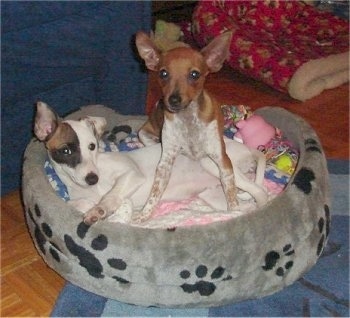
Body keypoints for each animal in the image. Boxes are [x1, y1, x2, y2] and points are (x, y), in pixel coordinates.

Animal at [34, 101, 266, 224]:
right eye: (66, 151)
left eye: (92, 146)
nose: (92, 178)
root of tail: (247, 149)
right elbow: (75, 203)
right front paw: (94, 208)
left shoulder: (131, 174)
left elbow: (112, 194)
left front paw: (102, 208)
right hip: (214, 195)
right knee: (242, 206)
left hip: (213, 164)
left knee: (261, 192)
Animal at [135, 31, 238, 222]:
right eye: (163, 73)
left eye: (194, 75)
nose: (173, 100)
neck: (188, 119)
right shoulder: (165, 163)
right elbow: (155, 193)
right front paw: (144, 214)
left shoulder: (223, 160)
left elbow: (231, 192)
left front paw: (235, 211)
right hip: (143, 134)